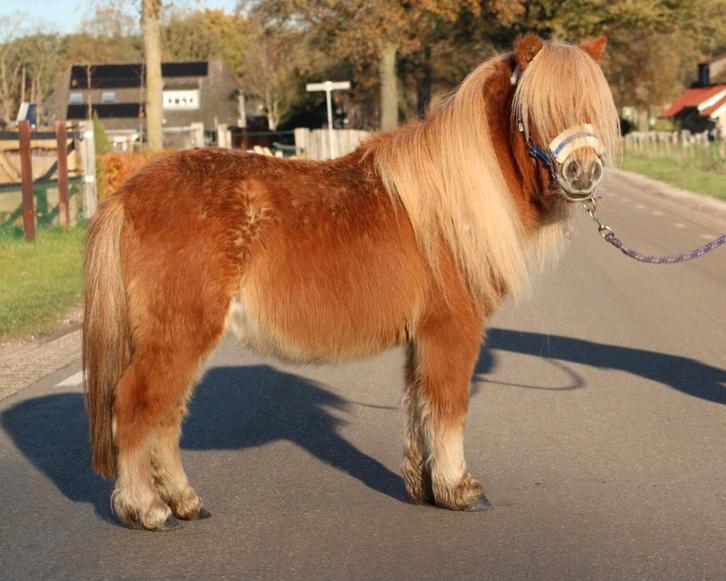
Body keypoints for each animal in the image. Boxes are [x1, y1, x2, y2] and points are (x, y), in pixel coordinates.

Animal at [83, 33, 619, 530]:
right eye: (539, 109)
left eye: (593, 107)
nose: (584, 172)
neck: (450, 199)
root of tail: (128, 193)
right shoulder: (453, 330)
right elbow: (448, 407)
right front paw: (459, 489)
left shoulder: (422, 337)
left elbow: (418, 407)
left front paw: (424, 487)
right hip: (178, 336)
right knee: (136, 406)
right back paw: (147, 508)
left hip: (182, 340)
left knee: (166, 415)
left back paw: (184, 501)